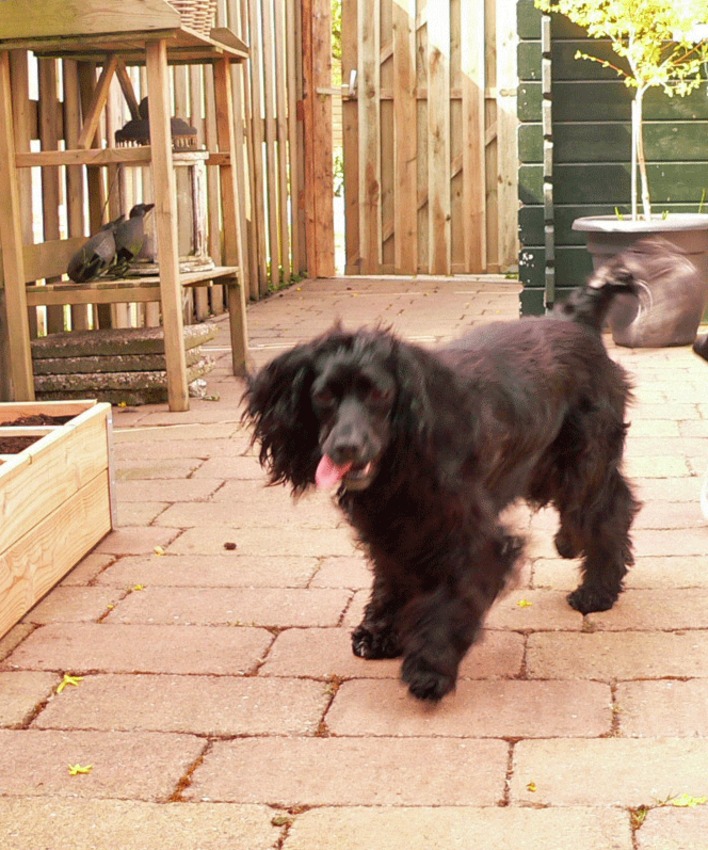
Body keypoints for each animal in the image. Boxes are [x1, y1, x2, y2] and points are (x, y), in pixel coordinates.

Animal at [243, 275, 641, 701]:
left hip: (583, 461)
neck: (401, 461)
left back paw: (597, 590)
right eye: (322, 396)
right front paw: (380, 633)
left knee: (609, 510)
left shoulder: (472, 537)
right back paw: (570, 544)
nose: (345, 448)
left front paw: (429, 666)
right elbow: (392, 580)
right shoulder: (392, 531)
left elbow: (451, 600)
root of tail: (577, 320)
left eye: (380, 394)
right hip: (545, 464)